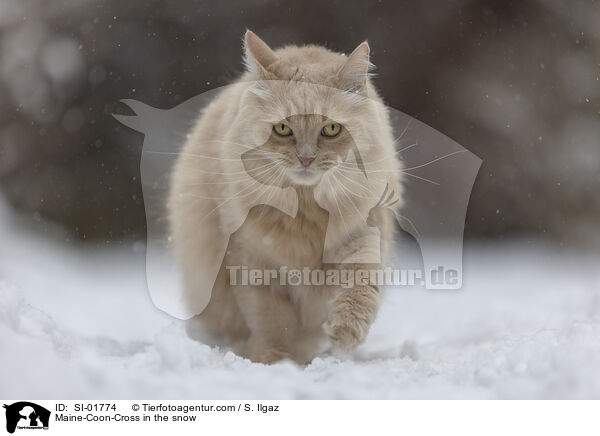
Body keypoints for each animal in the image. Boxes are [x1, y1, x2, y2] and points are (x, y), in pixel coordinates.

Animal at [168, 31, 404, 364]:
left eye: (331, 129)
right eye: (282, 128)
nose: (305, 158)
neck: (305, 209)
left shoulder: (363, 233)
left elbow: (360, 284)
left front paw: (346, 330)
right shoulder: (252, 260)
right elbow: (272, 321)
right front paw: (274, 362)